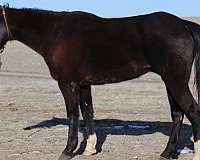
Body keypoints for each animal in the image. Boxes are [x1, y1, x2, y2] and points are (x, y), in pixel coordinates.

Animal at [0, 5, 200, 160]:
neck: (55, 33)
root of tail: (185, 25)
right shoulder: (82, 84)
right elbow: (88, 111)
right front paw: (89, 149)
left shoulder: (67, 83)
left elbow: (73, 115)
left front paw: (68, 150)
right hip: (170, 81)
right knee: (177, 114)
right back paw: (167, 153)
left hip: (176, 82)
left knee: (192, 111)